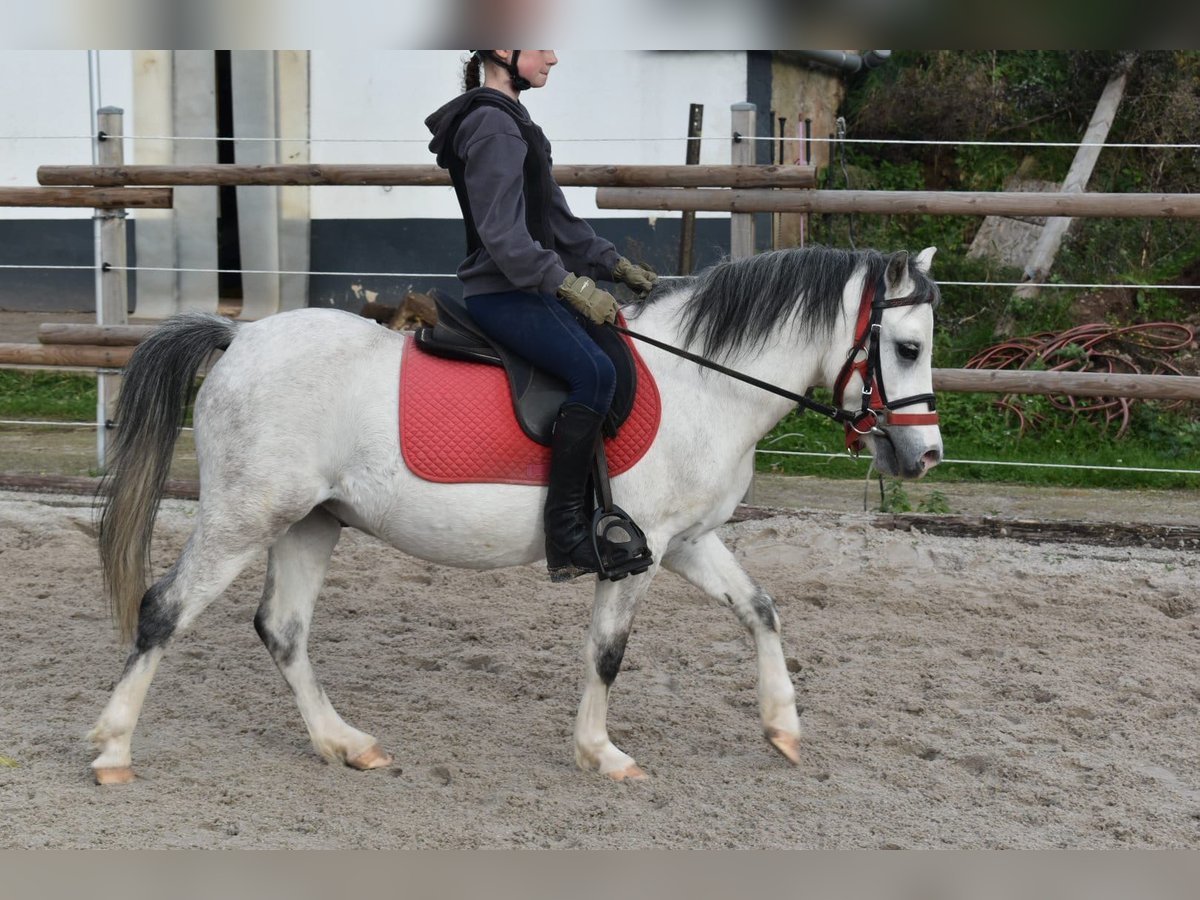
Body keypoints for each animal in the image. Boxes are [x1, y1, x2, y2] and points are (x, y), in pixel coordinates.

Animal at [88, 245, 943, 785]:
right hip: (245, 515)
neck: (705, 385)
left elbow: (761, 611)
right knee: (164, 609)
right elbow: (608, 652)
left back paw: (346, 744)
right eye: (905, 347)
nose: (925, 455)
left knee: (282, 630)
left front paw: (783, 728)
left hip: (311, 521)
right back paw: (112, 750)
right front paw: (601, 753)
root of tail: (238, 338)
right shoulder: (638, 549)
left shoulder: (687, 542)